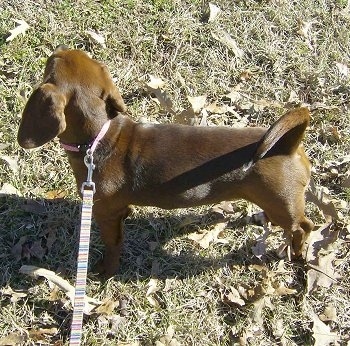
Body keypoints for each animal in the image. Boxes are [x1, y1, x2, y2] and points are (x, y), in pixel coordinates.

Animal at [17, 46, 314, 278]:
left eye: (52, 62)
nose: (58, 47)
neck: (100, 138)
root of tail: (289, 145)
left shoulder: (105, 212)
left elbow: (113, 245)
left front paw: (106, 270)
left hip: (283, 205)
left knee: (303, 227)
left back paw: (298, 252)